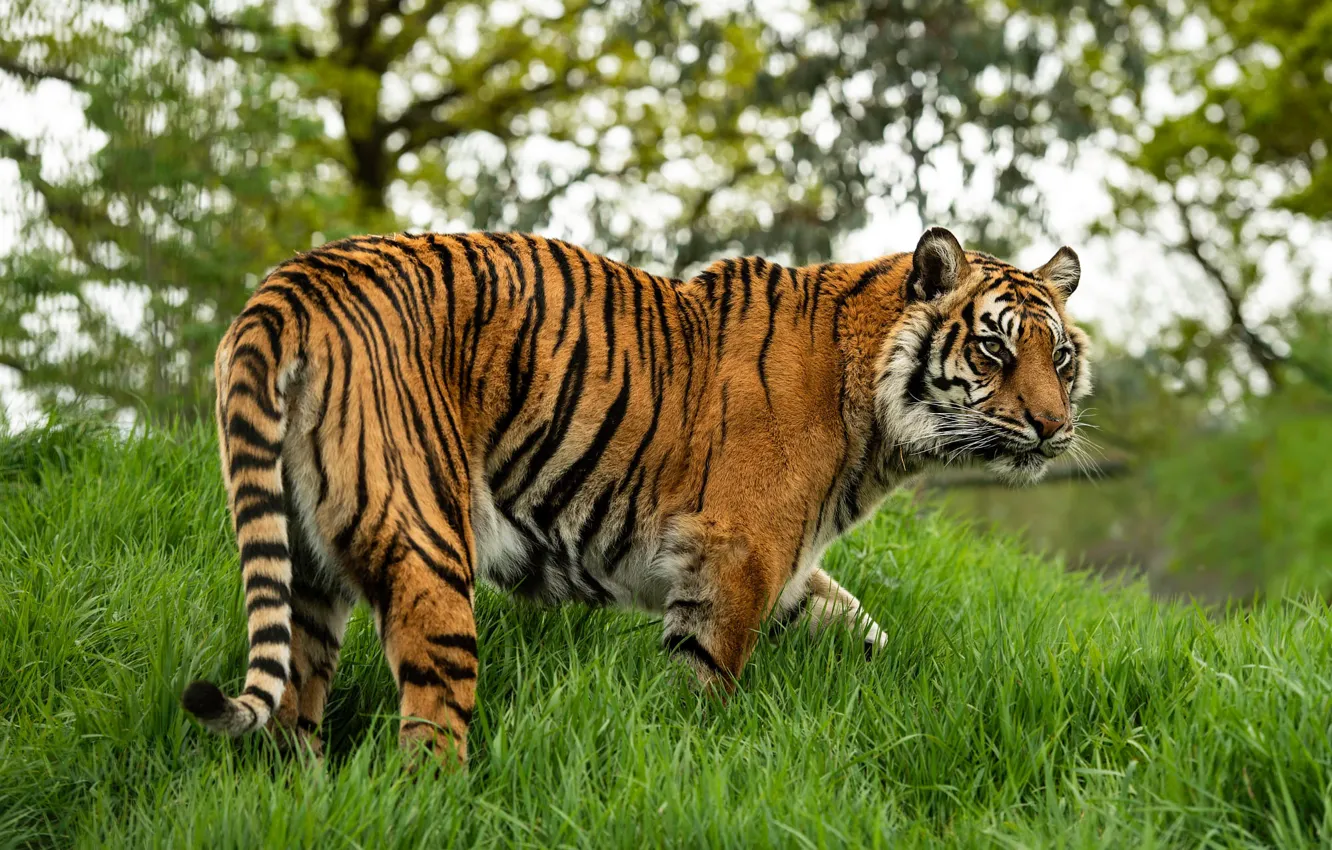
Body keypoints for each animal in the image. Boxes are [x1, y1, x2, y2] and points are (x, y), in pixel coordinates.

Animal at [182, 226, 1090, 765]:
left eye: (1060, 356)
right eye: (994, 349)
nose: (1053, 426)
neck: (875, 420)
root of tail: (295, 282)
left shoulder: (787, 570)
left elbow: (866, 630)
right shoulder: (738, 558)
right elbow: (706, 682)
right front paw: (694, 754)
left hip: (306, 564)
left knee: (293, 711)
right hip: (426, 542)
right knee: (429, 728)